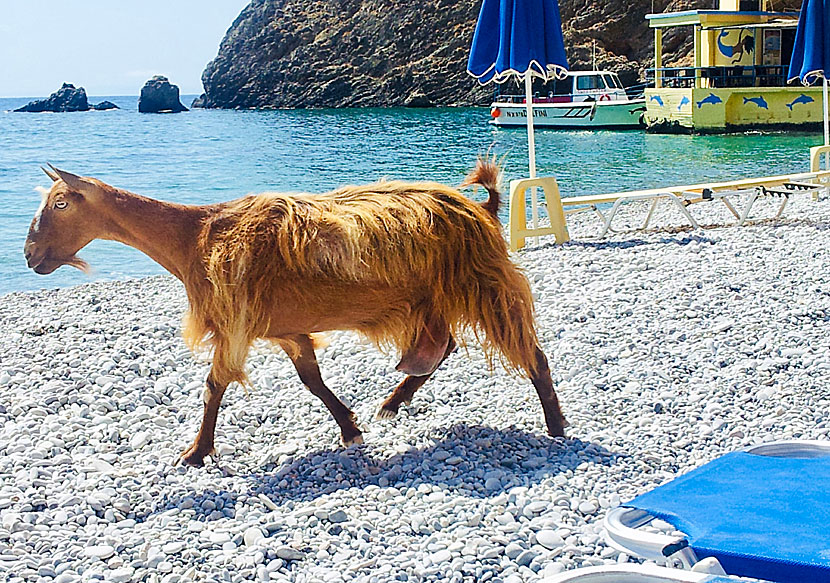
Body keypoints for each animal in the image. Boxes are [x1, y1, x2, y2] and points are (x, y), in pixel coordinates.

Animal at [27, 162, 572, 468]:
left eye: (61, 203)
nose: (31, 256)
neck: (195, 236)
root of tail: (480, 208)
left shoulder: (235, 321)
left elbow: (213, 385)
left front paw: (195, 453)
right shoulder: (286, 329)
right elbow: (311, 379)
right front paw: (350, 429)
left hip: (484, 285)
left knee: (532, 353)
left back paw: (556, 426)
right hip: (431, 297)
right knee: (443, 347)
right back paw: (393, 401)